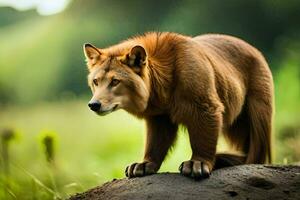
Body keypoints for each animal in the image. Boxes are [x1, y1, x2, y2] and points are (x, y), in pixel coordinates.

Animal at [83, 32, 274, 179]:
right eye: (96, 81)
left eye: (115, 81)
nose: (94, 104)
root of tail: (254, 49)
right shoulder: (159, 117)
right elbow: (155, 144)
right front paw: (143, 165)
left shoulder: (205, 107)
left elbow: (202, 140)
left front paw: (198, 163)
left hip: (258, 114)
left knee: (257, 154)